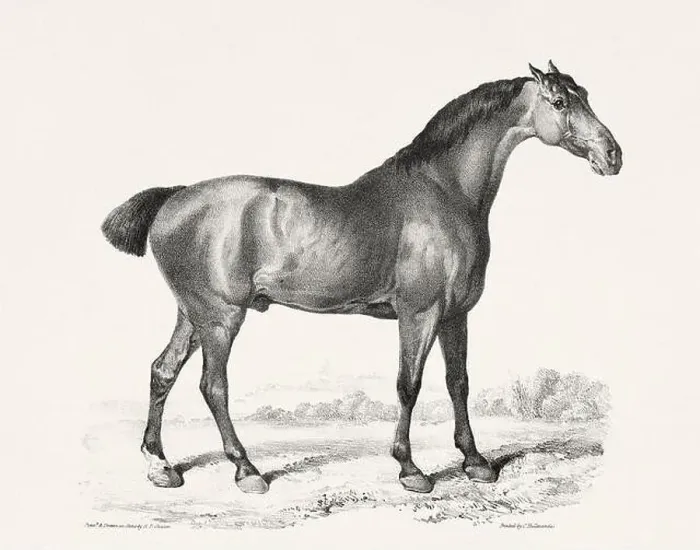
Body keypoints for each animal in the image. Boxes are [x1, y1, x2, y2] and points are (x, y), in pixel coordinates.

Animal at [102, 61, 622, 495]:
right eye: (559, 102)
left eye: (584, 94)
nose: (613, 154)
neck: (443, 191)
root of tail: (175, 196)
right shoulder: (419, 315)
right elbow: (409, 385)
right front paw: (410, 469)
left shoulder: (455, 316)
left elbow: (458, 382)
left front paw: (476, 462)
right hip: (220, 318)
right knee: (214, 387)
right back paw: (247, 471)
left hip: (192, 314)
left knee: (163, 371)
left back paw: (159, 467)